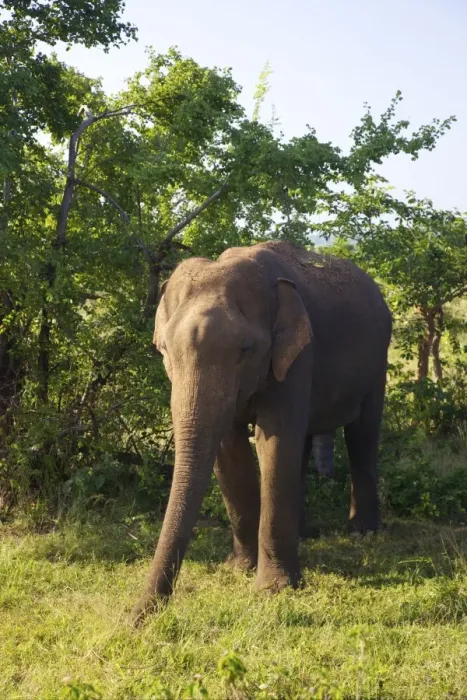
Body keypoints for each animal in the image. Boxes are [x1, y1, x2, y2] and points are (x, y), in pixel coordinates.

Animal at [131, 241, 392, 622]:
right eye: (163, 349)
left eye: (245, 350)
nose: (137, 618)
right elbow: (230, 450)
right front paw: (239, 568)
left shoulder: (298, 355)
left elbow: (275, 442)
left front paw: (274, 589)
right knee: (306, 444)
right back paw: (304, 534)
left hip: (377, 363)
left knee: (362, 435)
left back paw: (363, 532)